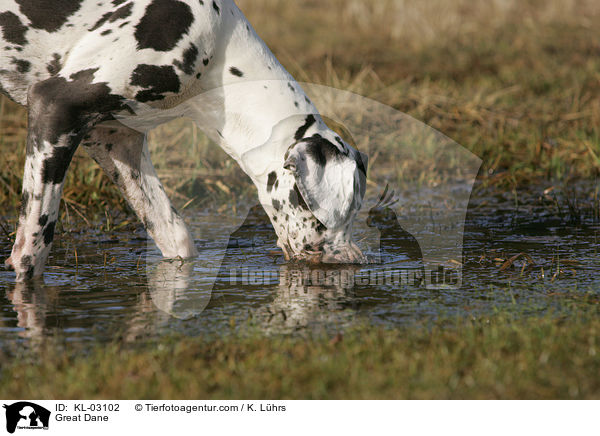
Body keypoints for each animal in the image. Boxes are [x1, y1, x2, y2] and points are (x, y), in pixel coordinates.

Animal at [0, 0, 368, 282]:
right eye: (344, 208)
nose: (351, 260)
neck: (218, 52)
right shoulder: (55, 107)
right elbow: (33, 251)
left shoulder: (117, 140)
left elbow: (176, 236)